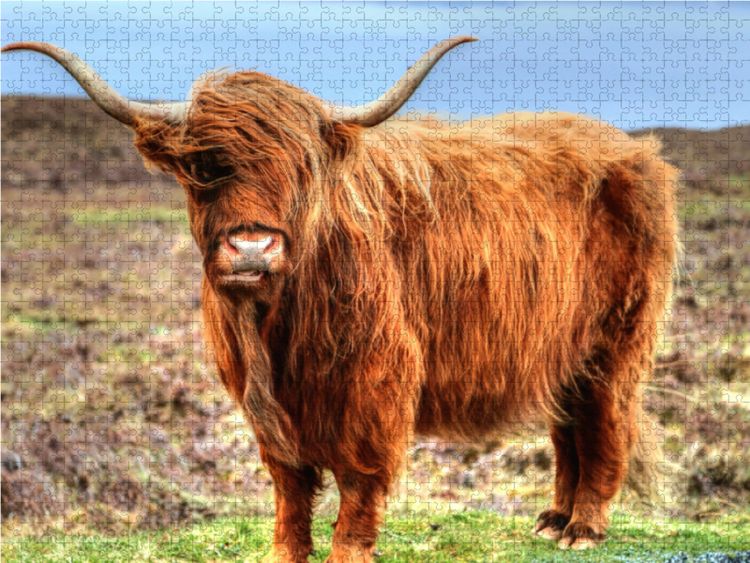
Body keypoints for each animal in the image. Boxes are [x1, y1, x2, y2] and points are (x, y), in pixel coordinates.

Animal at [2, 37, 678, 560]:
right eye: (204, 168)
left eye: (300, 170)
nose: (252, 249)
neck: (275, 327)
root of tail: (633, 150)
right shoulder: (266, 406)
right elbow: (290, 486)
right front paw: (286, 551)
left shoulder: (376, 383)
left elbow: (358, 481)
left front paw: (346, 551)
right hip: (562, 352)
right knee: (569, 429)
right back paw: (553, 519)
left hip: (616, 343)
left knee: (605, 425)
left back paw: (584, 527)